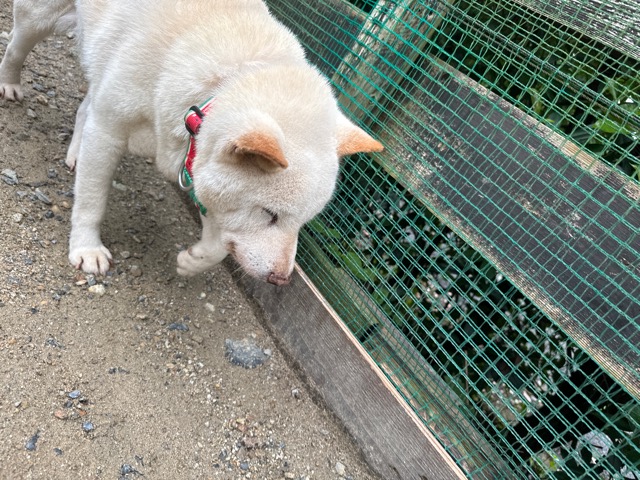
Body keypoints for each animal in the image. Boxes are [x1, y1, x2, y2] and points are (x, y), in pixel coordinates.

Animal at [0, 0, 383, 285]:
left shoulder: (200, 164)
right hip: (39, 19)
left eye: (304, 221)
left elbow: (220, 244)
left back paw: (77, 151)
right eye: (270, 214)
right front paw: (87, 248)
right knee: (15, 47)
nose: (281, 279)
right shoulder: (110, 130)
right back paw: (10, 85)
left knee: (86, 106)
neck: (221, 84)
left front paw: (194, 260)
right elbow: (92, 202)